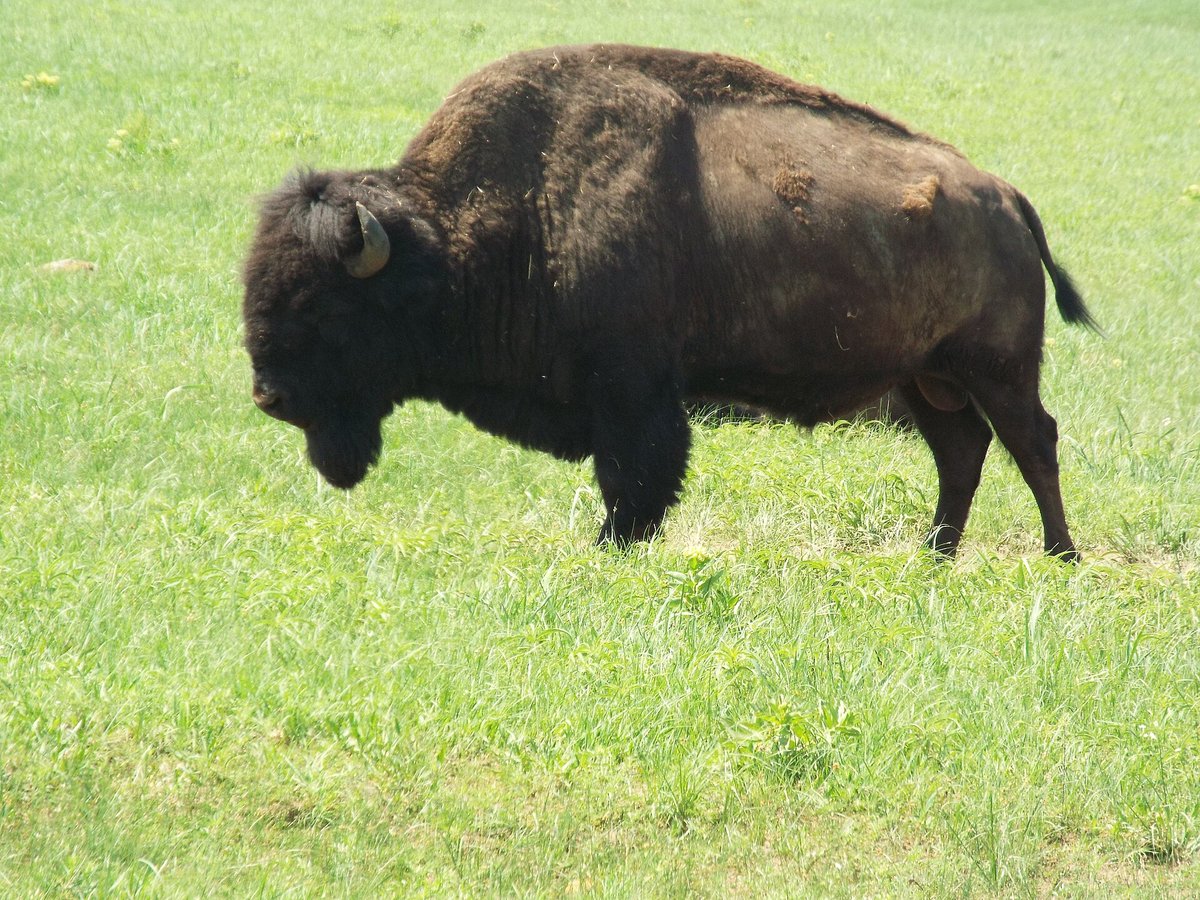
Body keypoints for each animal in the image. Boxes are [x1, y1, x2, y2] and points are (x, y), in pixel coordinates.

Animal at [243, 44, 1097, 559]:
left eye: (324, 308)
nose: (269, 396)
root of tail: (1005, 197)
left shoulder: (633, 390)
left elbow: (636, 477)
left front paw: (612, 546)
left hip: (996, 369)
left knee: (1032, 442)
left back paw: (1060, 554)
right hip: (926, 378)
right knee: (963, 451)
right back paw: (935, 555)